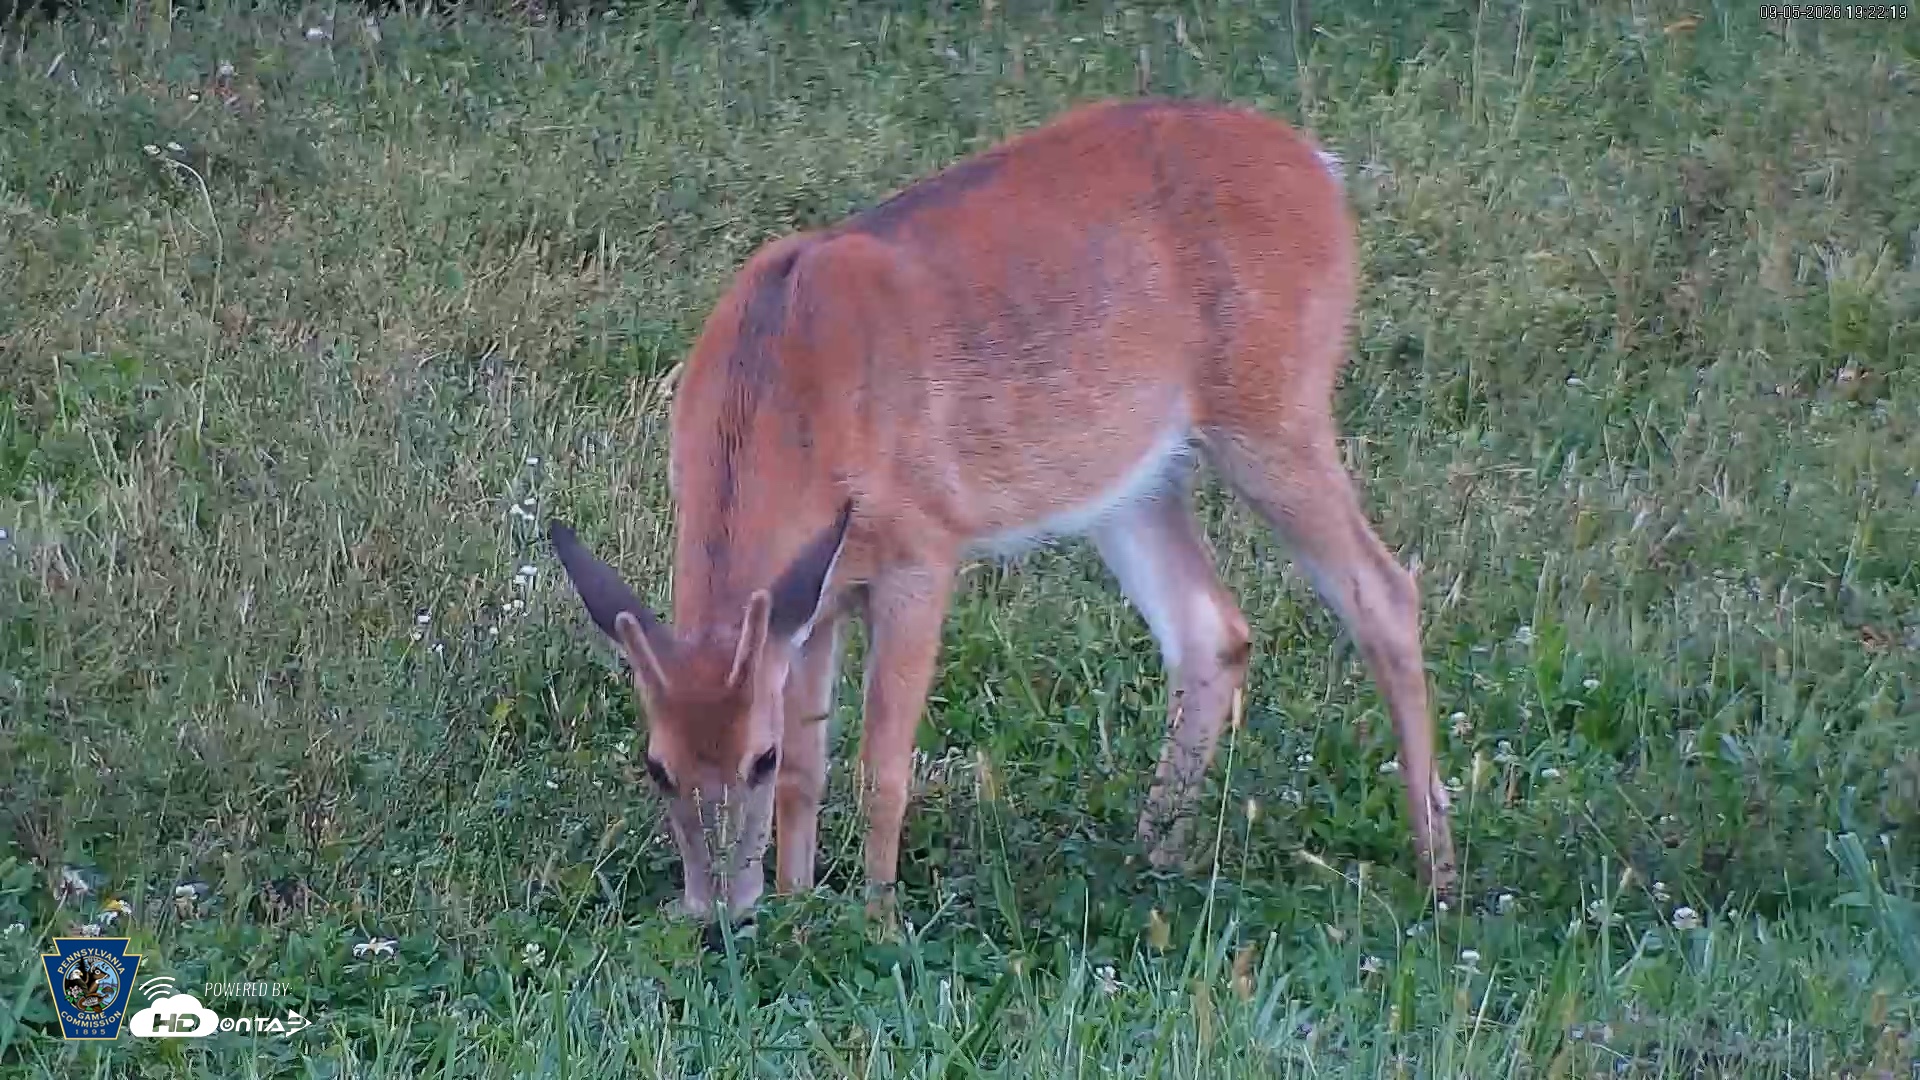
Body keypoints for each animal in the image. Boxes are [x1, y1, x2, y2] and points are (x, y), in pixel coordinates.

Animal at [550, 97, 1456, 925]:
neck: (786, 387)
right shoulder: (818, 594)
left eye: (754, 760)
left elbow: (881, 764)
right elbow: (816, 766)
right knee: (1211, 627)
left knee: (1384, 592)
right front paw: (798, 906)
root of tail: (1320, 168)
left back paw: (1437, 874)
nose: (717, 919)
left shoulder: (922, 552)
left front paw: (876, 923)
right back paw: (1150, 858)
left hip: (1274, 410)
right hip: (1132, 479)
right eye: (656, 765)